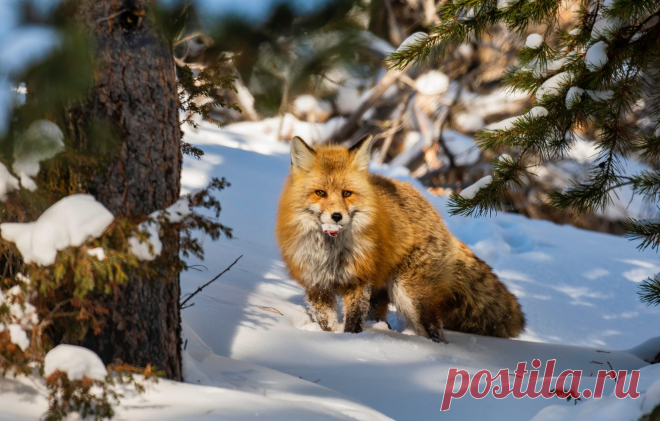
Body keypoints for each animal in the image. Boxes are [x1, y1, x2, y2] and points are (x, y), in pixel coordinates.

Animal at [274, 135, 524, 342]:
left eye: (346, 193)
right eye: (320, 193)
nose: (337, 216)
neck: (330, 251)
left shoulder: (358, 281)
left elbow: (353, 323)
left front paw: (350, 342)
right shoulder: (317, 285)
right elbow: (327, 322)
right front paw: (331, 338)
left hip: (411, 297)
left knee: (437, 335)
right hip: (381, 294)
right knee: (382, 318)